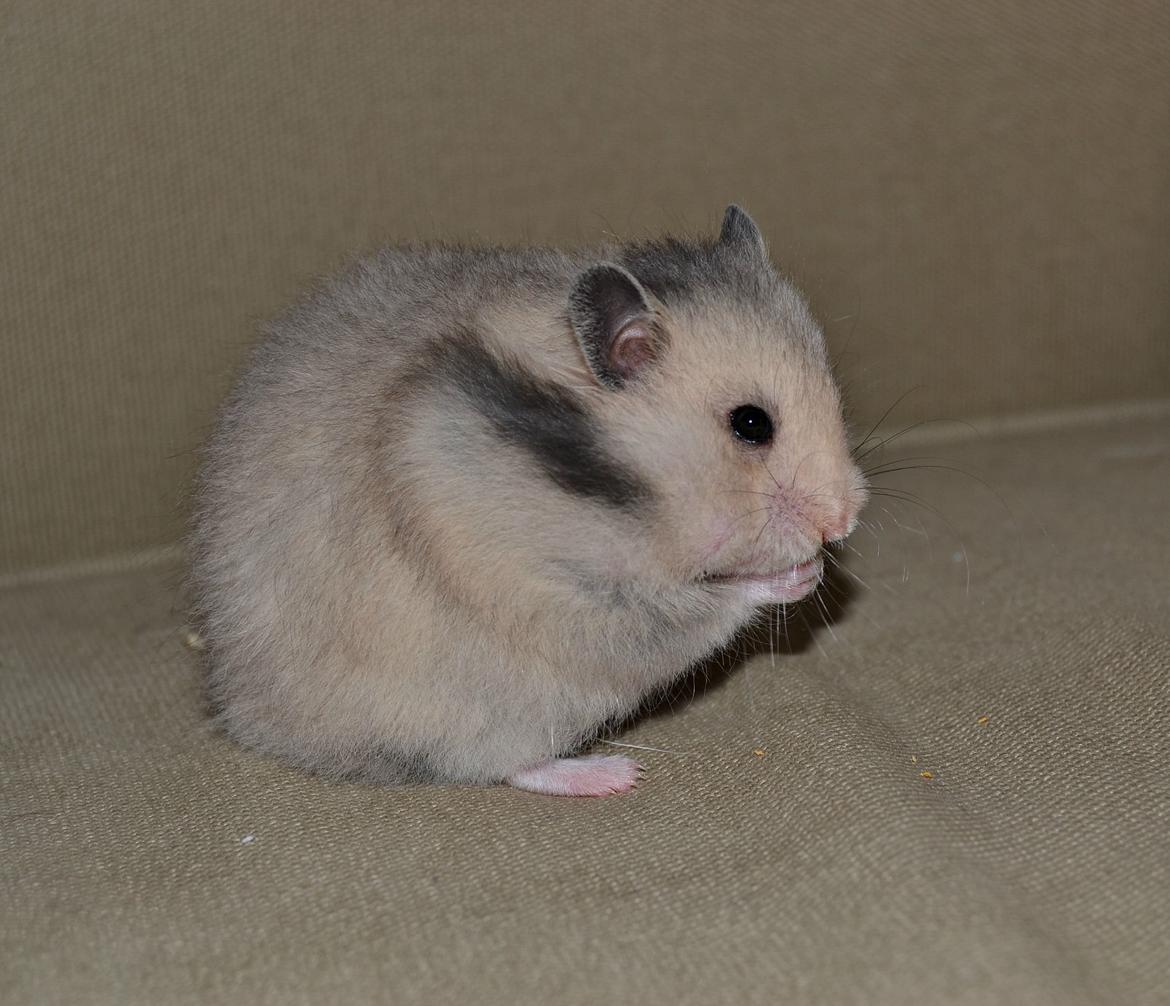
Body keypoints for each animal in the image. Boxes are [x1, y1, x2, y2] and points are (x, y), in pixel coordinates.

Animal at [189, 206, 866, 797]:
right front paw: (802, 575)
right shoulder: (576, 597)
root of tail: (245, 717)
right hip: (489, 708)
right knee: (500, 764)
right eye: (751, 425)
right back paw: (612, 777)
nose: (844, 523)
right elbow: (710, 602)